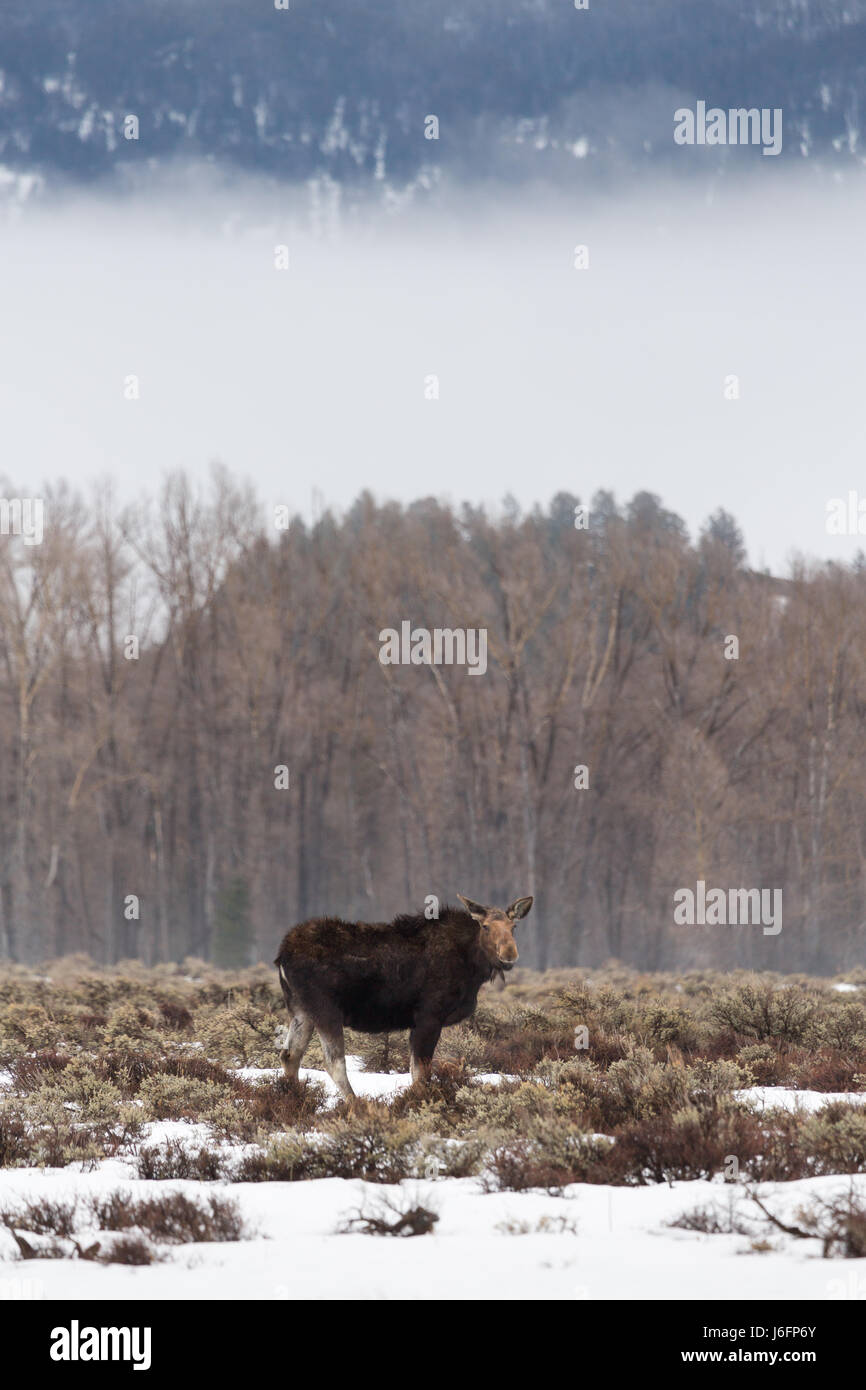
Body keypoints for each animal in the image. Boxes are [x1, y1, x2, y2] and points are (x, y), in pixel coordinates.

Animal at [273, 893, 534, 1098]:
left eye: (514, 927)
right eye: (486, 927)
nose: (509, 955)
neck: (473, 967)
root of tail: (282, 956)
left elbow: (415, 1071)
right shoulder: (429, 1016)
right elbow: (421, 1073)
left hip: (301, 1010)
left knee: (289, 1054)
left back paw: (292, 1097)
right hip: (325, 1009)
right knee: (333, 1062)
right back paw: (357, 1105)